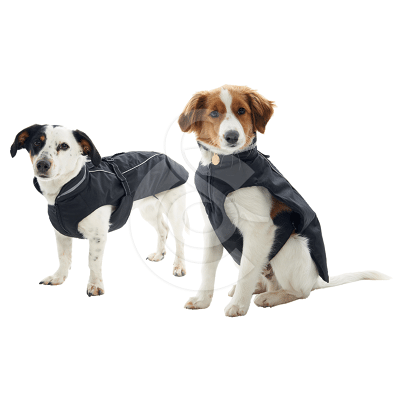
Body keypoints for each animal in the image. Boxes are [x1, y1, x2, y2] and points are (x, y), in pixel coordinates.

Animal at [10, 124, 189, 296]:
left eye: (64, 146)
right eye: (36, 142)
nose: (42, 164)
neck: (65, 193)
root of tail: (168, 158)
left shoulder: (98, 236)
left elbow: (93, 262)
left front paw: (95, 285)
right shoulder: (61, 233)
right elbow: (63, 257)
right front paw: (59, 277)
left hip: (174, 210)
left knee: (179, 239)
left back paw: (179, 266)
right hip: (148, 210)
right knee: (163, 229)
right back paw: (159, 254)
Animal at [178, 84, 390, 317]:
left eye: (242, 111)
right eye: (214, 114)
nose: (232, 136)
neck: (225, 164)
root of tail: (315, 280)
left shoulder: (260, 229)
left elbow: (247, 270)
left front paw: (238, 305)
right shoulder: (214, 224)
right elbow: (208, 267)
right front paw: (202, 300)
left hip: (289, 246)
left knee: (299, 292)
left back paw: (270, 297)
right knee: (263, 278)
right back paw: (259, 288)